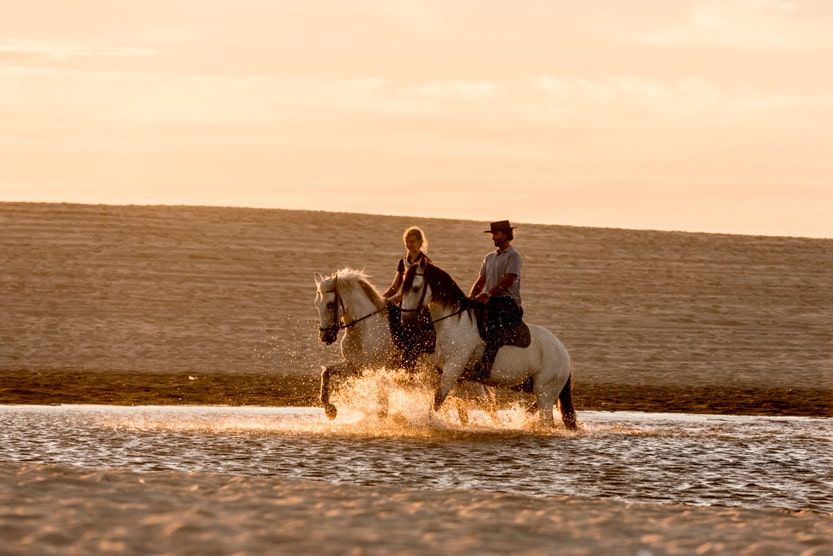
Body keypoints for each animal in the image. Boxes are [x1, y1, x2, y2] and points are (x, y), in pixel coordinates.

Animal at [312, 270, 494, 422]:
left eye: (330, 304)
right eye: (316, 304)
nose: (325, 336)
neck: (365, 329)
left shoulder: (378, 369)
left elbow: (383, 403)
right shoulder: (356, 366)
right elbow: (326, 372)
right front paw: (330, 410)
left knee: (486, 405)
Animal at [400, 260, 576, 430]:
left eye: (415, 288)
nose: (405, 319)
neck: (455, 323)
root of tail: (564, 352)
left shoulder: (452, 370)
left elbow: (438, 399)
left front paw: (429, 422)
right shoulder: (458, 377)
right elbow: (462, 407)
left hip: (545, 392)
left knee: (547, 421)